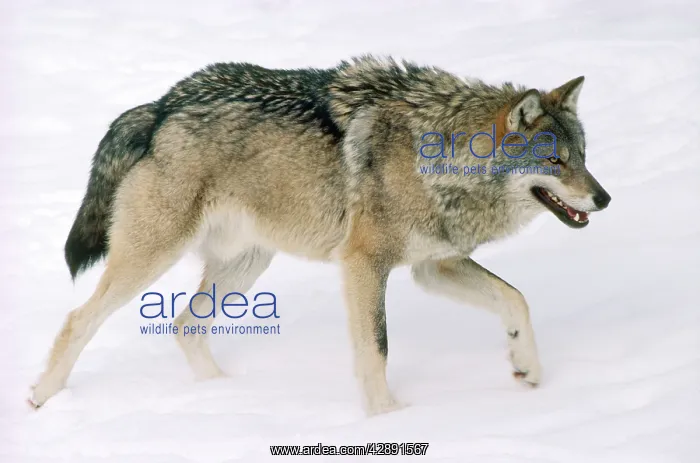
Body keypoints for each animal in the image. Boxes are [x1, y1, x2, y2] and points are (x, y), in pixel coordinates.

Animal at [30, 56, 611, 414]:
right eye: (556, 163)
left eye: (583, 156)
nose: (604, 199)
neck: (438, 160)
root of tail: (160, 105)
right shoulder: (363, 264)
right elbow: (376, 347)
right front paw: (388, 417)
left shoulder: (434, 266)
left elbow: (516, 300)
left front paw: (527, 368)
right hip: (153, 257)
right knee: (78, 319)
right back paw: (43, 396)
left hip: (245, 265)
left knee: (185, 324)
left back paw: (222, 396)